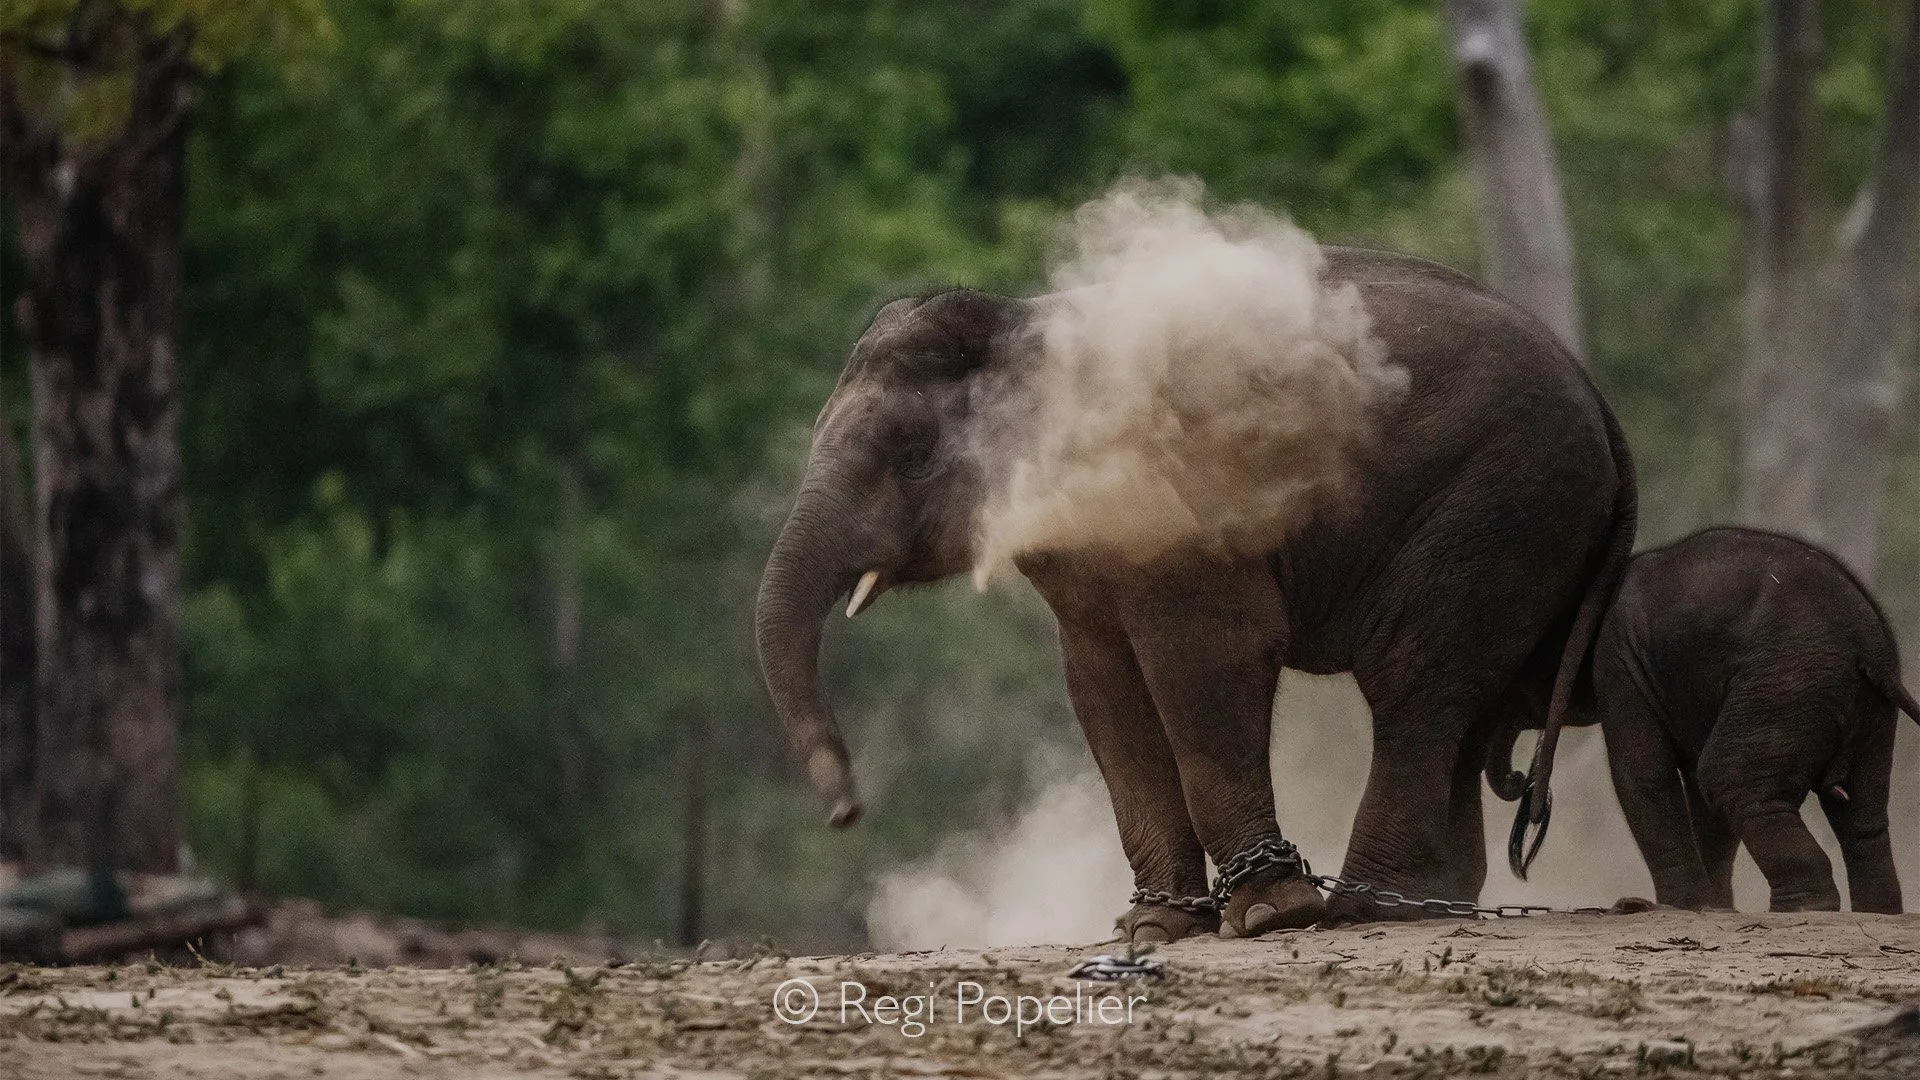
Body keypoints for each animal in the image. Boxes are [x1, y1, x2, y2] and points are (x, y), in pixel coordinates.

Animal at [754, 247, 1635, 939]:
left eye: (909, 457)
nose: (845, 813)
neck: (1024, 322)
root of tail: (1599, 397)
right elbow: (1103, 687)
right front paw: (1156, 926)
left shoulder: (1177, 514)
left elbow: (1208, 661)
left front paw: (1270, 916)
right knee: (1460, 703)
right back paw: (1426, 904)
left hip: (1499, 504)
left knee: (1413, 686)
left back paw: (1362, 907)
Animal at [1575, 526, 1917, 912]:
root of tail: (1873, 648)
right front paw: (1714, 907)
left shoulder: (1619, 656)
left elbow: (1644, 773)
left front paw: (1685, 906)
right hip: (1868, 710)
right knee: (1861, 816)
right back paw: (1877, 909)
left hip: (1786, 683)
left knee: (1729, 780)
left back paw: (1797, 909)